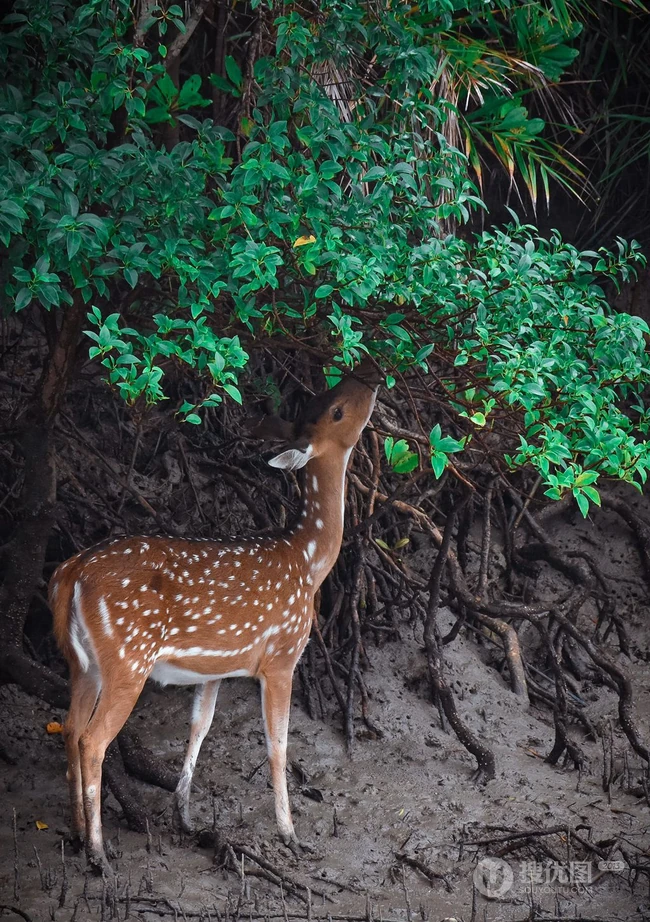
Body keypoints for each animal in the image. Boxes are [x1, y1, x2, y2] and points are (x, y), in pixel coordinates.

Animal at [49, 363, 379, 872]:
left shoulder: (215, 667)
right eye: (339, 411)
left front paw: (184, 816)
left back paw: (77, 831)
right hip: (128, 657)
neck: (308, 563)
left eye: (326, 396)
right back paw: (100, 853)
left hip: (82, 663)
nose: (369, 378)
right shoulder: (282, 655)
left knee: (68, 728)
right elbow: (278, 744)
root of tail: (71, 574)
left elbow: (199, 729)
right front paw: (291, 835)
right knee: (93, 739)